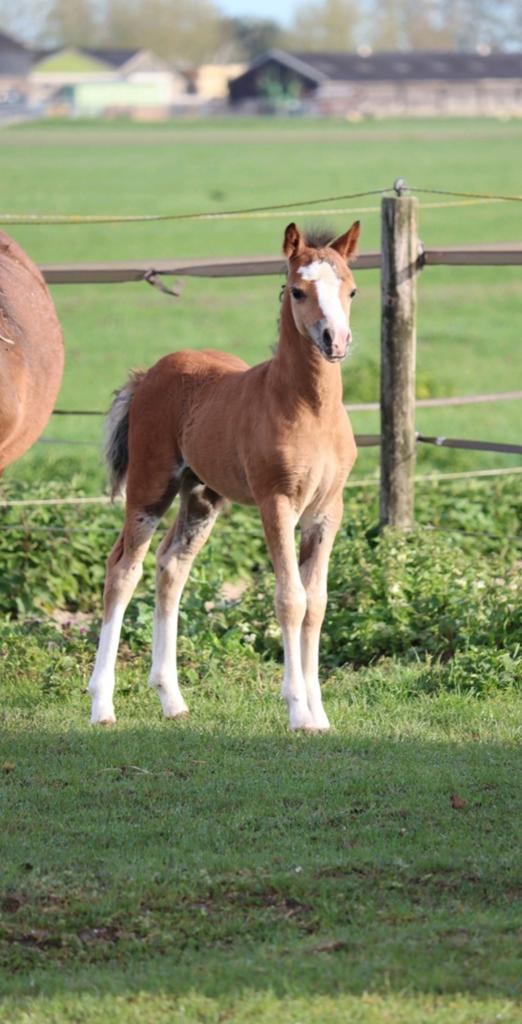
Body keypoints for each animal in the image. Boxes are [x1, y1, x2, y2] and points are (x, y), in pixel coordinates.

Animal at [89, 220, 360, 731]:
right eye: (297, 291)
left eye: (351, 289)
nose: (335, 340)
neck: (309, 409)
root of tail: (150, 372)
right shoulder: (277, 502)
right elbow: (290, 598)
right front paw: (298, 711)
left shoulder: (327, 510)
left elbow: (316, 603)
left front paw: (320, 713)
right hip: (151, 486)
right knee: (124, 569)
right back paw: (102, 705)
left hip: (202, 496)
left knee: (171, 567)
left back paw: (172, 699)